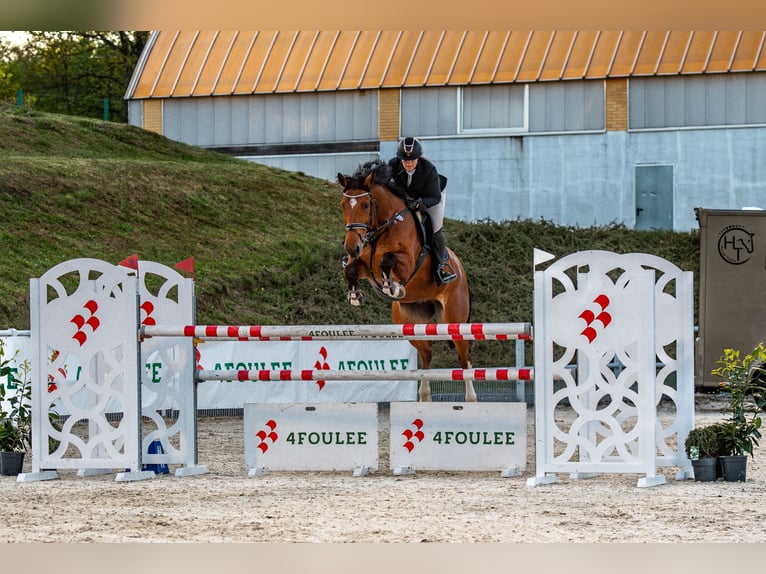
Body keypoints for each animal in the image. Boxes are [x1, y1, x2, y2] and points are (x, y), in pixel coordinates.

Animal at [336, 160, 474, 402]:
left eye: (365, 205)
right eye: (344, 205)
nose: (351, 247)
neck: (381, 227)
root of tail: (460, 268)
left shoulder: (407, 262)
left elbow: (387, 260)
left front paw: (392, 286)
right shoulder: (363, 265)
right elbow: (352, 269)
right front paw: (354, 295)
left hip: (453, 318)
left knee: (464, 357)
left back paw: (471, 398)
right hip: (410, 322)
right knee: (427, 354)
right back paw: (425, 396)